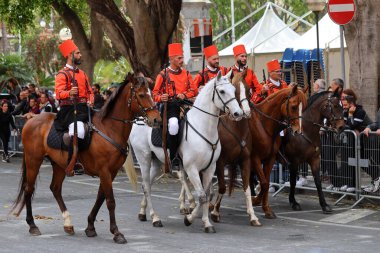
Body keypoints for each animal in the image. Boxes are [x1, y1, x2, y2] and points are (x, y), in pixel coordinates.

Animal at [11, 74, 161, 244]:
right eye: (141, 95)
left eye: (151, 93)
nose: (157, 120)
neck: (109, 128)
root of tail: (30, 120)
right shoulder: (104, 171)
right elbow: (110, 201)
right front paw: (116, 232)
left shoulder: (112, 172)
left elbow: (100, 197)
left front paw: (90, 226)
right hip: (33, 161)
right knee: (29, 189)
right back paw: (32, 225)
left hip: (60, 165)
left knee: (55, 188)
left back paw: (68, 223)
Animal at [127, 70, 245, 231]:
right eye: (222, 91)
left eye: (233, 90)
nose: (238, 113)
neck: (204, 128)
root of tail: (139, 120)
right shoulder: (191, 168)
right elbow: (201, 196)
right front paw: (189, 219)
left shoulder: (210, 168)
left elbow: (207, 194)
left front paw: (207, 223)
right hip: (144, 159)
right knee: (146, 186)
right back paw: (154, 218)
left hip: (157, 162)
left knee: (148, 185)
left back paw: (142, 212)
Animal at [212, 84, 308, 221]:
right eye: (294, 106)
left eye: (303, 107)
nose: (298, 131)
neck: (264, 124)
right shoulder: (255, 158)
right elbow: (263, 183)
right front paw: (256, 200)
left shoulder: (270, 159)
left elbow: (266, 183)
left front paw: (266, 209)